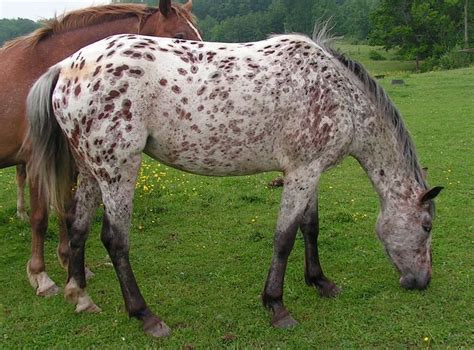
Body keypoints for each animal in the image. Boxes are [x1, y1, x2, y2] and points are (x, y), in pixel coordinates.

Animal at [0, 0, 200, 296]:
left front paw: (69, 263)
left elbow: (65, 210)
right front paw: (40, 275)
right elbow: (40, 217)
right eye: (179, 36)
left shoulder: (69, 162)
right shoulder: (37, 161)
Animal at [26, 31, 444, 338]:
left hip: (90, 168)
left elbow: (310, 227)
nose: (421, 281)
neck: (340, 94)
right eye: (426, 226)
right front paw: (277, 306)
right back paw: (146, 315)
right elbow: (285, 237)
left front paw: (320, 282)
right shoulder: (302, 172)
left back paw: (80, 296)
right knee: (114, 239)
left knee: (77, 227)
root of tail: (65, 67)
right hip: (117, 167)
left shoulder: (309, 170)